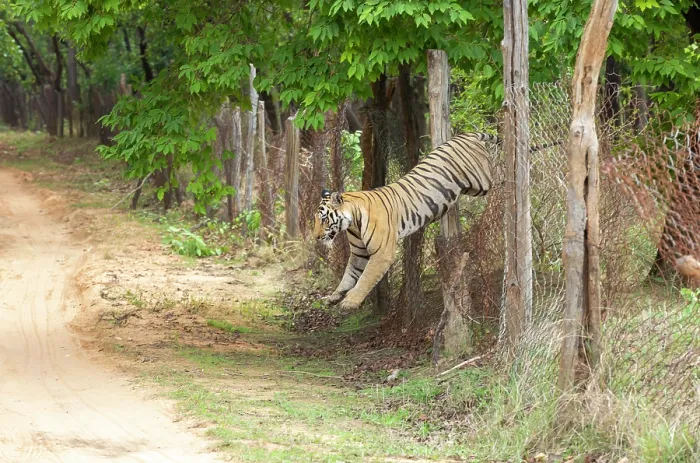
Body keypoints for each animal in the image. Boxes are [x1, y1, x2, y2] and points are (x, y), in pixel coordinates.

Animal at [314, 132, 496, 310]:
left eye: (324, 219)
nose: (316, 237)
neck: (353, 223)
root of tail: (467, 135)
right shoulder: (359, 253)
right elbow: (349, 275)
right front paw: (334, 296)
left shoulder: (382, 254)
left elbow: (365, 279)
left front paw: (350, 302)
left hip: (481, 181)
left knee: (496, 173)